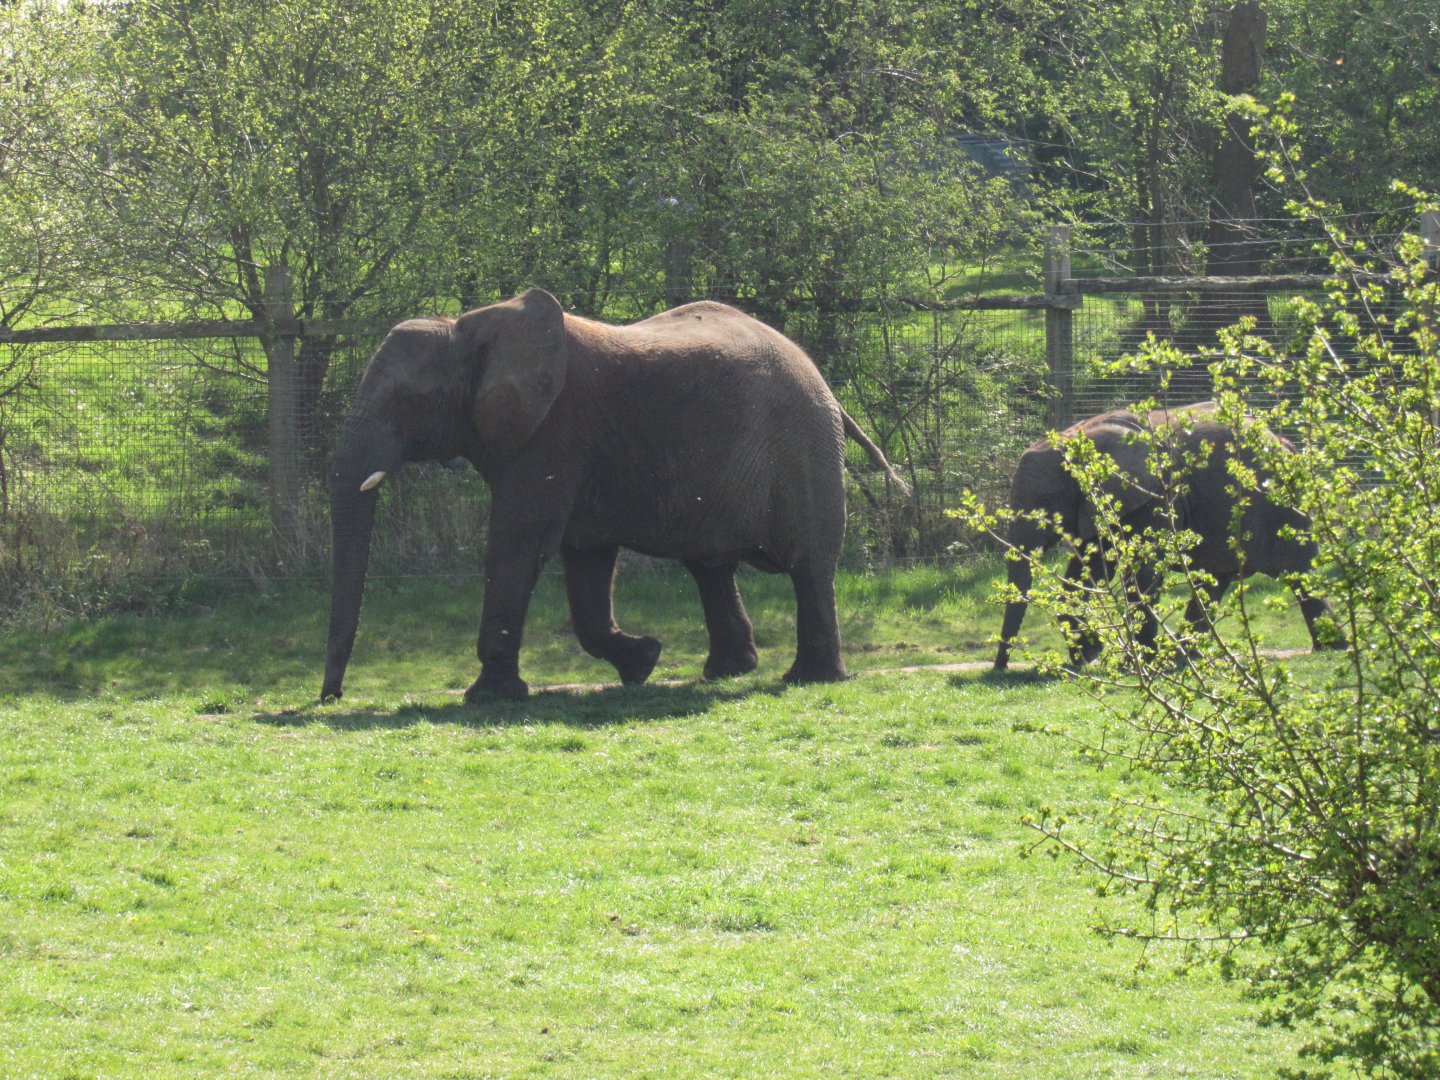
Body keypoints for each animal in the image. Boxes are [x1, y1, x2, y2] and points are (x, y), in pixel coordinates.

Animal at [321, 288, 908, 703]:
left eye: (408, 399)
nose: (331, 698)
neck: (467, 327)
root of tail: (821, 379)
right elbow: (584, 557)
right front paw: (644, 661)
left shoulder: (554, 432)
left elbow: (519, 542)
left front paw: (488, 699)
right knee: (710, 567)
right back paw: (727, 671)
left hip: (803, 448)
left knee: (808, 565)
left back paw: (808, 680)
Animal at [992, 401, 1341, 671]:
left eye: (1044, 503)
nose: (1000, 668)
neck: (1078, 434)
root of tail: (1286, 443)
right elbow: (1089, 570)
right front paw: (1087, 654)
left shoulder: (1154, 496)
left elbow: (1141, 572)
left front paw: (1129, 663)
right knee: (1214, 582)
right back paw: (1185, 656)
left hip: (1282, 509)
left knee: (1299, 575)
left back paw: (1331, 649)